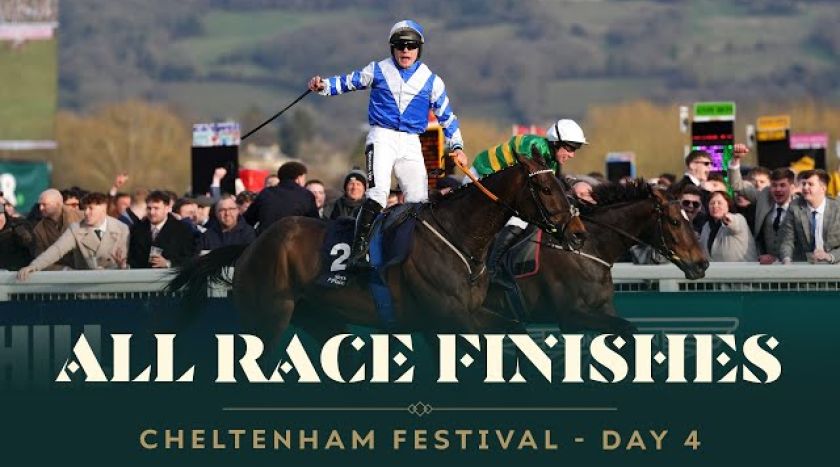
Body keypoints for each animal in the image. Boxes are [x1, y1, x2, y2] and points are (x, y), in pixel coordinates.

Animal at [168, 152, 587, 345]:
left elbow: (512, 330)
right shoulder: (448, 315)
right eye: (545, 188)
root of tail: (252, 245)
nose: (578, 232)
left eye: (562, 184)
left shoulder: (464, 314)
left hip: (322, 319)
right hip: (267, 319)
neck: (458, 236)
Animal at [481, 180, 709, 334]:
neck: (587, 250)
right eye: (675, 222)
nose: (702, 264)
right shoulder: (571, 315)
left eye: (689, 218)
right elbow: (627, 327)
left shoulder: (602, 309)